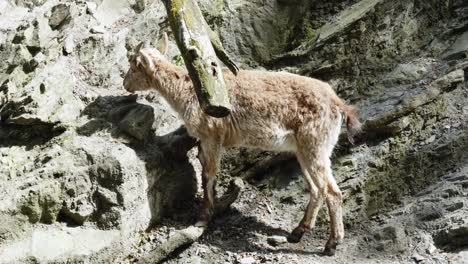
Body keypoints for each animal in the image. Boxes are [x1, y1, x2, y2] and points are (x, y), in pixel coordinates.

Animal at [122, 41, 360, 256]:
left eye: (134, 66)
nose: (125, 84)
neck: (187, 91)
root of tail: (339, 105)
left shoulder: (212, 135)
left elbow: (208, 175)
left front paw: (204, 216)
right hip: (304, 149)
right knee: (316, 189)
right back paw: (297, 232)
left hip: (315, 144)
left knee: (332, 191)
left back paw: (331, 244)